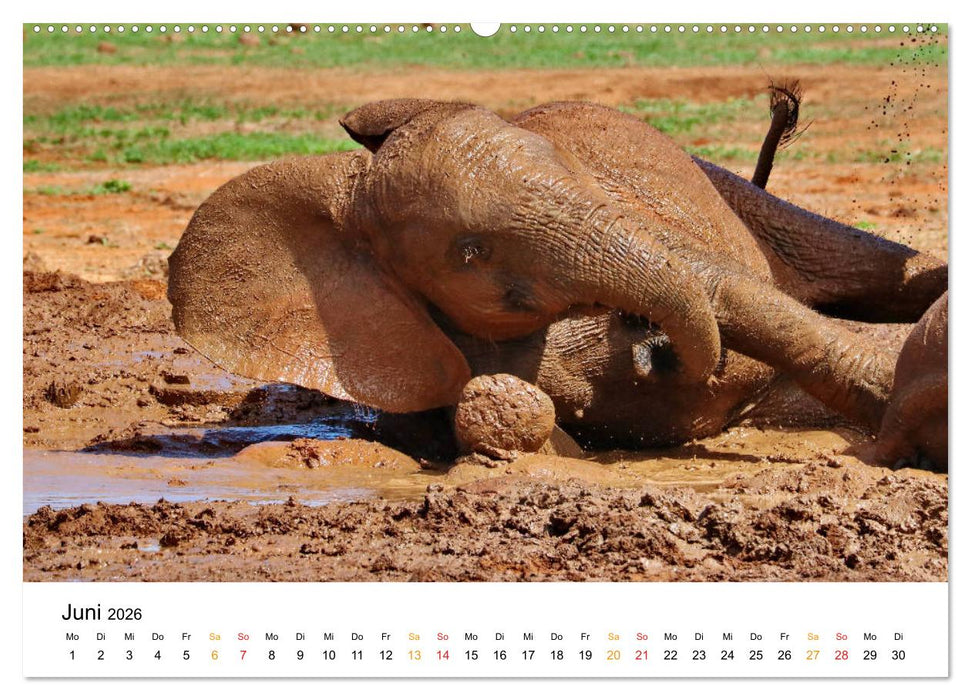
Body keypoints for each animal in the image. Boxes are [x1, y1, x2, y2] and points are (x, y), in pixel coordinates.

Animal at [167, 98, 947, 465]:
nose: (654, 346)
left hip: (736, 192)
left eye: (575, 168)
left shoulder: (642, 217)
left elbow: (731, 292)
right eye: (471, 251)